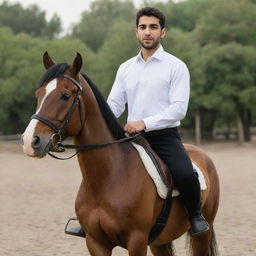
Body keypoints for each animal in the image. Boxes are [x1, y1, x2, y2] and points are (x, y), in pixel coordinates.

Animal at [22, 53, 220, 255]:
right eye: (39, 94)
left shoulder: (137, 240)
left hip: (202, 234)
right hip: (159, 242)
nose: (30, 140)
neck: (108, 179)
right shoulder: (95, 242)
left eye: (65, 96)